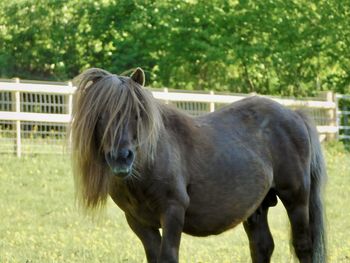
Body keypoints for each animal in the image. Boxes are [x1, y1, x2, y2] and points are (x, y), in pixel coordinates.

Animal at [70, 68, 326, 263]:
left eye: (138, 113)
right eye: (101, 115)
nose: (122, 157)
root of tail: (294, 114)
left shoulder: (172, 212)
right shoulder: (138, 222)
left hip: (296, 198)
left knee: (303, 246)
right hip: (258, 207)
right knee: (262, 247)